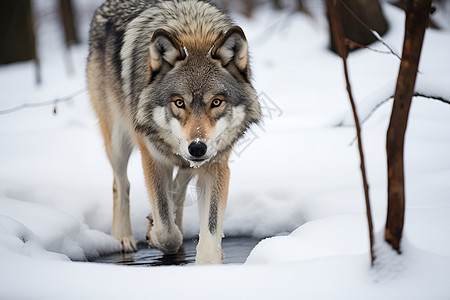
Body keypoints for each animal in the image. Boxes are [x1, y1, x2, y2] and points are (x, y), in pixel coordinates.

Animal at [86, 0, 262, 262]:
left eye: (216, 102)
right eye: (179, 103)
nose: (197, 148)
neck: (193, 31)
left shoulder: (216, 164)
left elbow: (209, 231)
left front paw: (207, 262)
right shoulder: (152, 159)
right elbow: (166, 229)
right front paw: (157, 236)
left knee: (179, 181)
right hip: (118, 139)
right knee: (121, 183)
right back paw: (122, 237)